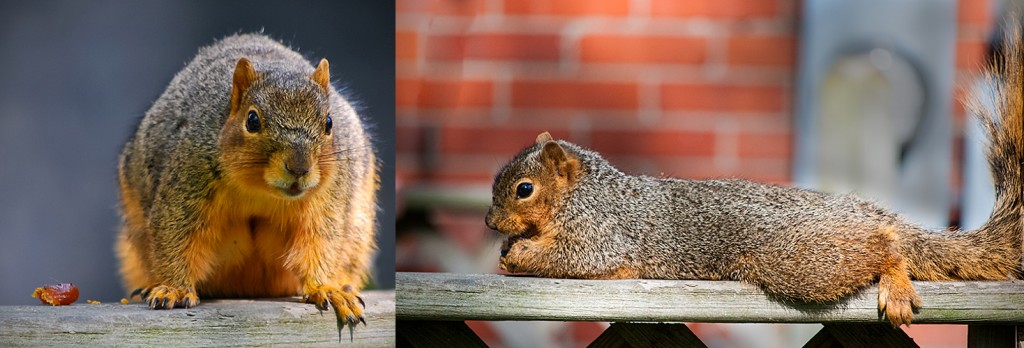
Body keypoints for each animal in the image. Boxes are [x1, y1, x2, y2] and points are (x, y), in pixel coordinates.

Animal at [116, 34, 378, 337]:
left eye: (328, 122)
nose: (299, 168)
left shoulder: (326, 197)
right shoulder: (187, 181)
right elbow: (175, 236)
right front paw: (174, 289)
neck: (262, 191)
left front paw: (326, 288)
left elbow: (321, 240)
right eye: (252, 120)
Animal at [483, 27, 1019, 325]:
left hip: (802, 261)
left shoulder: (602, 234)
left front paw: (517, 254)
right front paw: (509, 248)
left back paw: (896, 279)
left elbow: (578, 258)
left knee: (885, 247)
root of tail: (862, 210)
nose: (489, 223)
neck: (585, 194)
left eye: (524, 190)